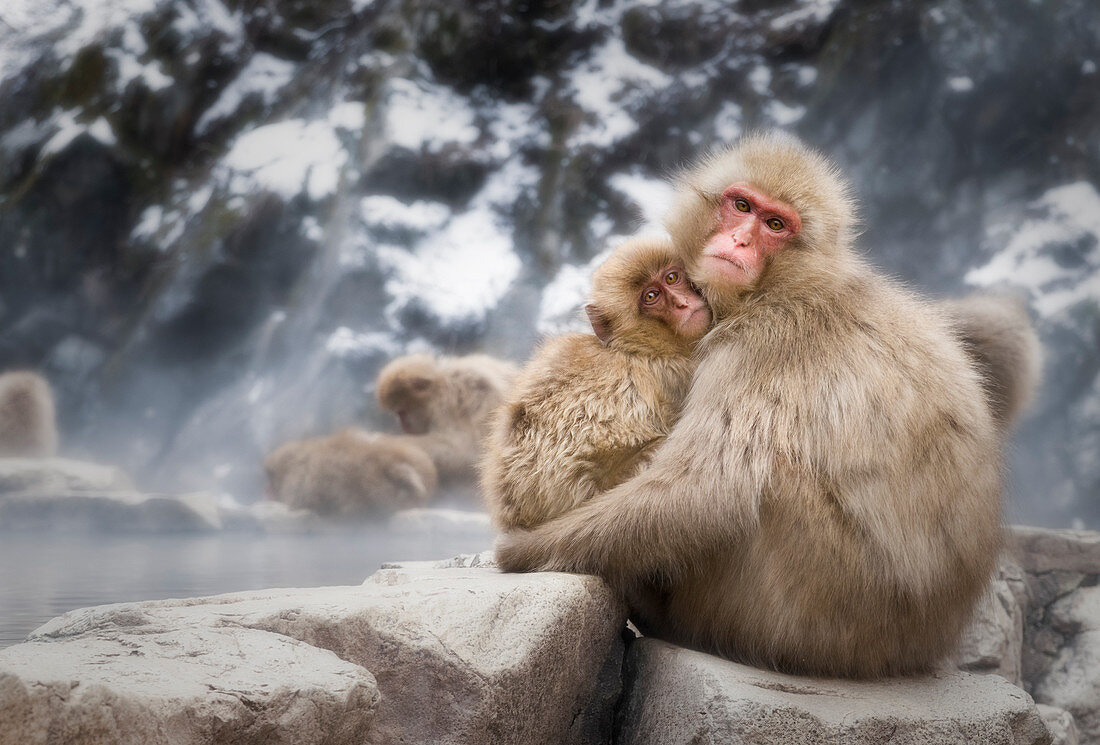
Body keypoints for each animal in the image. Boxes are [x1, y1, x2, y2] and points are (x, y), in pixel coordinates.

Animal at [376, 352, 517, 484]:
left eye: (402, 413)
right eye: (398, 413)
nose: (404, 426)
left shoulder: (458, 400)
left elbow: (461, 448)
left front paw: (387, 442)